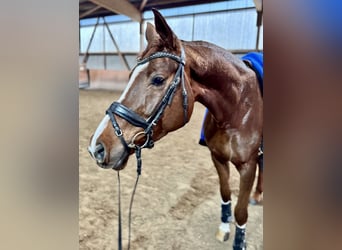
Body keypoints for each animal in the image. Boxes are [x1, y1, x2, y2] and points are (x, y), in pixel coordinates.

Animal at [87, 8, 262, 249]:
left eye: (158, 79)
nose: (97, 148)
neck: (236, 110)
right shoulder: (217, 157)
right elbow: (225, 193)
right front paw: (224, 228)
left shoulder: (248, 166)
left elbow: (241, 211)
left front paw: (239, 242)